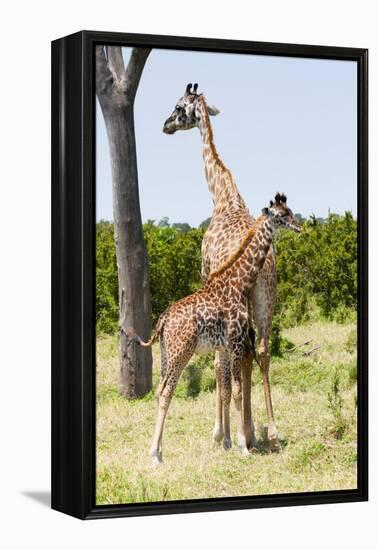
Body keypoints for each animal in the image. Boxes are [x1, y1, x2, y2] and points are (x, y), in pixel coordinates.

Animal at [128, 194, 302, 466]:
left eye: (291, 212)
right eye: (282, 216)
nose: (298, 226)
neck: (240, 281)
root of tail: (163, 320)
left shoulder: (228, 346)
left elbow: (230, 389)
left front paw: (232, 442)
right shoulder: (237, 341)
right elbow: (238, 391)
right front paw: (243, 446)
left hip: (166, 355)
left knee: (158, 391)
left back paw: (159, 451)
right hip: (181, 354)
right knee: (166, 392)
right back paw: (155, 455)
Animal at [163, 83, 278, 452]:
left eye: (178, 106)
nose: (165, 125)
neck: (223, 195)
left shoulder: (205, 280)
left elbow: (218, 364)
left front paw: (222, 433)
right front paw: (243, 431)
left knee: (238, 359)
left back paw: (242, 434)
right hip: (266, 300)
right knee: (261, 351)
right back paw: (269, 430)